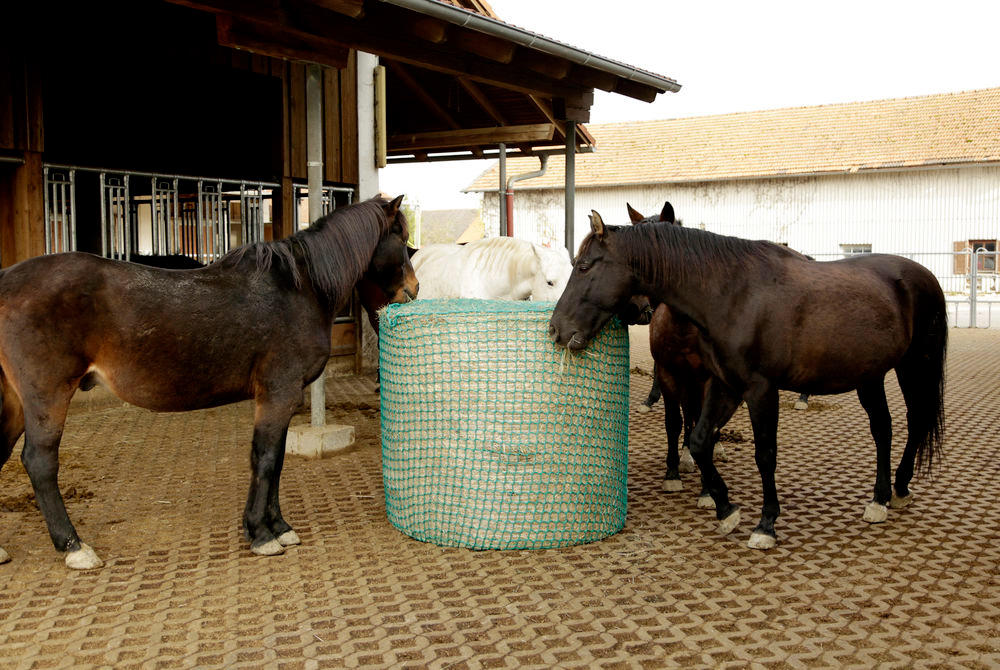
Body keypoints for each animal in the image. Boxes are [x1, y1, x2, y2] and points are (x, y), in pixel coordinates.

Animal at [0, 194, 418, 572]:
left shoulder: (282, 399)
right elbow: (265, 459)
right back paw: (73, 546)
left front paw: (279, 526)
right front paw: (261, 534)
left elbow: (278, 460)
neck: (299, 288)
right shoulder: (278, 394)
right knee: (39, 462)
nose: (413, 291)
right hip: (48, 396)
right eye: (401, 237)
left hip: (16, 400)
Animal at [552, 211, 948, 552]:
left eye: (584, 266)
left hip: (915, 366)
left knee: (915, 421)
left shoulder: (760, 389)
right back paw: (881, 497)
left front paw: (766, 524)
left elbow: (765, 454)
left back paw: (898, 488)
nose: (557, 329)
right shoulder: (726, 384)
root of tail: (922, 275)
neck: (733, 295)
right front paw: (725, 508)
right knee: (883, 429)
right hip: (869, 376)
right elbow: (699, 440)